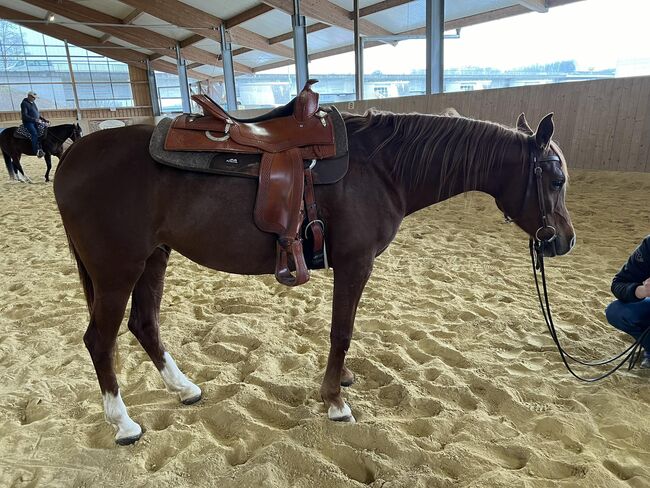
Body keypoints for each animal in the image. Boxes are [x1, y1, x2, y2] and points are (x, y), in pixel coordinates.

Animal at [54, 111, 572, 446]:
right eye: (556, 179)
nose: (564, 241)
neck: (380, 168)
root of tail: (74, 155)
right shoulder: (355, 263)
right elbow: (341, 330)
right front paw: (334, 401)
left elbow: (346, 329)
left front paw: (341, 381)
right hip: (117, 270)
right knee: (100, 339)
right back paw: (124, 424)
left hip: (152, 260)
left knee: (144, 324)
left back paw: (185, 389)